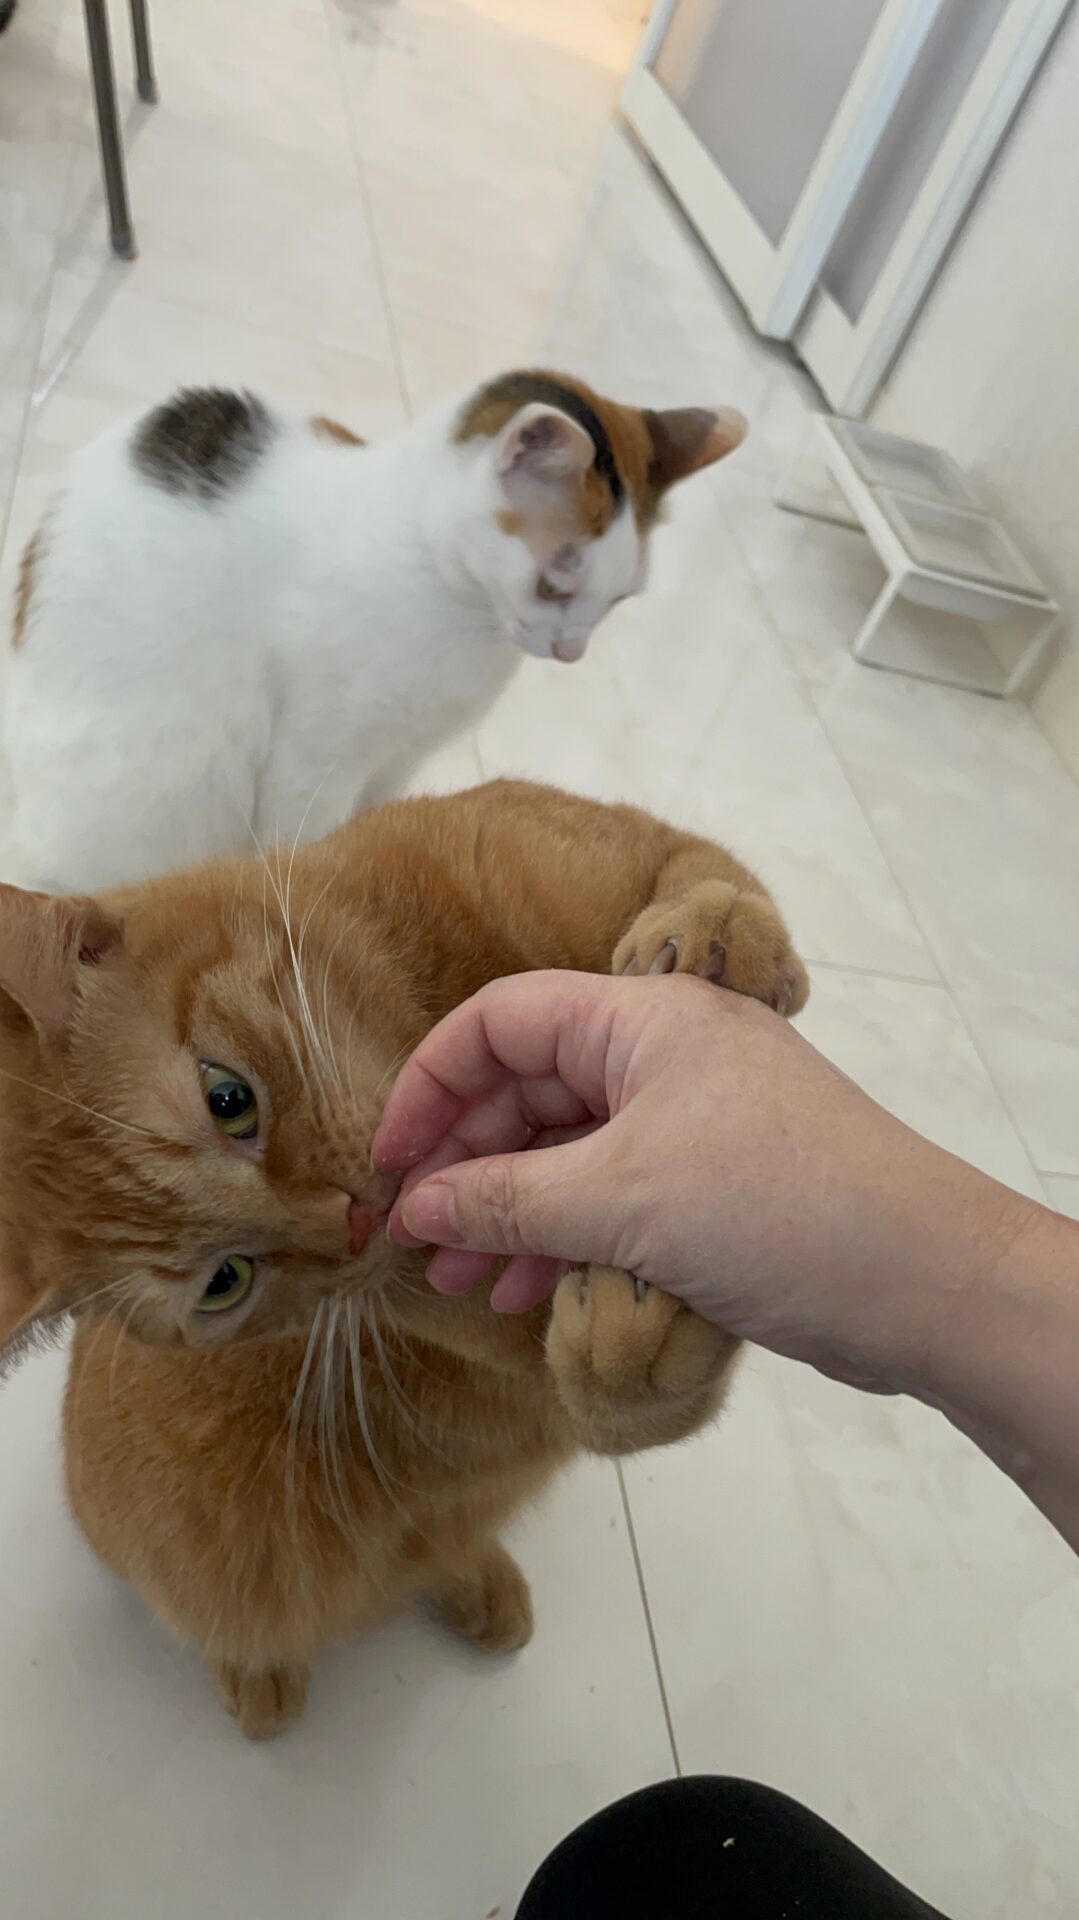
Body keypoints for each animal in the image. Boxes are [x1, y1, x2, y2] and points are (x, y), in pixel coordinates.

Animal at [0, 778, 807, 1738]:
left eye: (228, 1099)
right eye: (224, 1283)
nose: (348, 1225)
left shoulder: (610, 843)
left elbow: (704, 872)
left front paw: (717, 935)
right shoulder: (523, 1373)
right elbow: (620, 1401)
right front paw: (630, 1339)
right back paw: (265, 1680)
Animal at [3, 373, 746, 894]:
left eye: (618, 599)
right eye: (553, 586)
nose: (570, 652)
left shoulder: (398, 759)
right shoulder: (313, 764)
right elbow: (306, 844)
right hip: (175, 771)